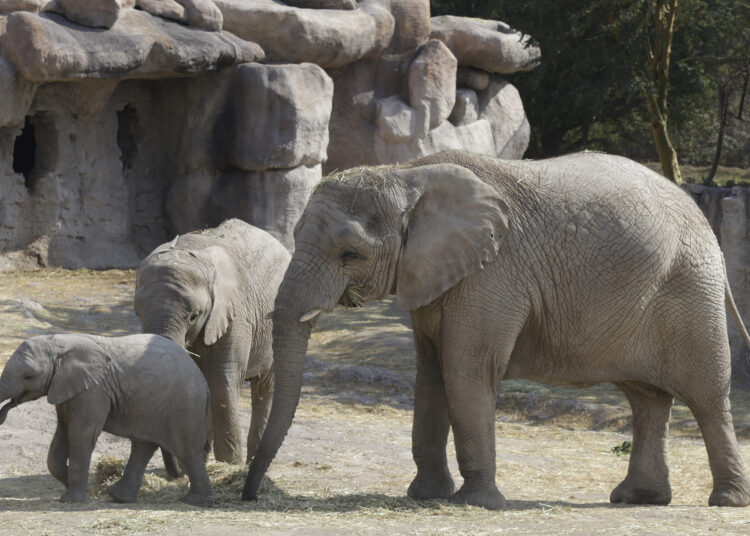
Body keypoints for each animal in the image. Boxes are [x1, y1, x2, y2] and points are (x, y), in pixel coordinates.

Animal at [0, 333, 213, 504]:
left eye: (28, 376)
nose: (3, 414)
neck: (59, 342)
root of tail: (202, 377)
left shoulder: (94, 390)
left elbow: (80, 434)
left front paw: (72, 500)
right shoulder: (68, 388)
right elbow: (62, 433)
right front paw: (76, 488)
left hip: (185, 403)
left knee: (187, 450)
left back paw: (195, 501)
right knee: (144, 445)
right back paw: (119, 497)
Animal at [135, 218, 291, 467]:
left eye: (194, 316)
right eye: (137, 312)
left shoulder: (236, 315)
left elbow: (221, 381)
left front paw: (228, 465)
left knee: (264, 387)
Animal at [242, 150, 750, 509]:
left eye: (351, 254)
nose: (249, 493)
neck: (407, 173)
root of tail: (702, 218)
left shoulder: (493, 272)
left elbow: (466, 368)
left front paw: (477, 503)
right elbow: (431, 373)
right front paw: (426, 496)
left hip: (691, 288)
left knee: (706, 396)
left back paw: (724, 501)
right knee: (647, 397)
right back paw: (638, 499)